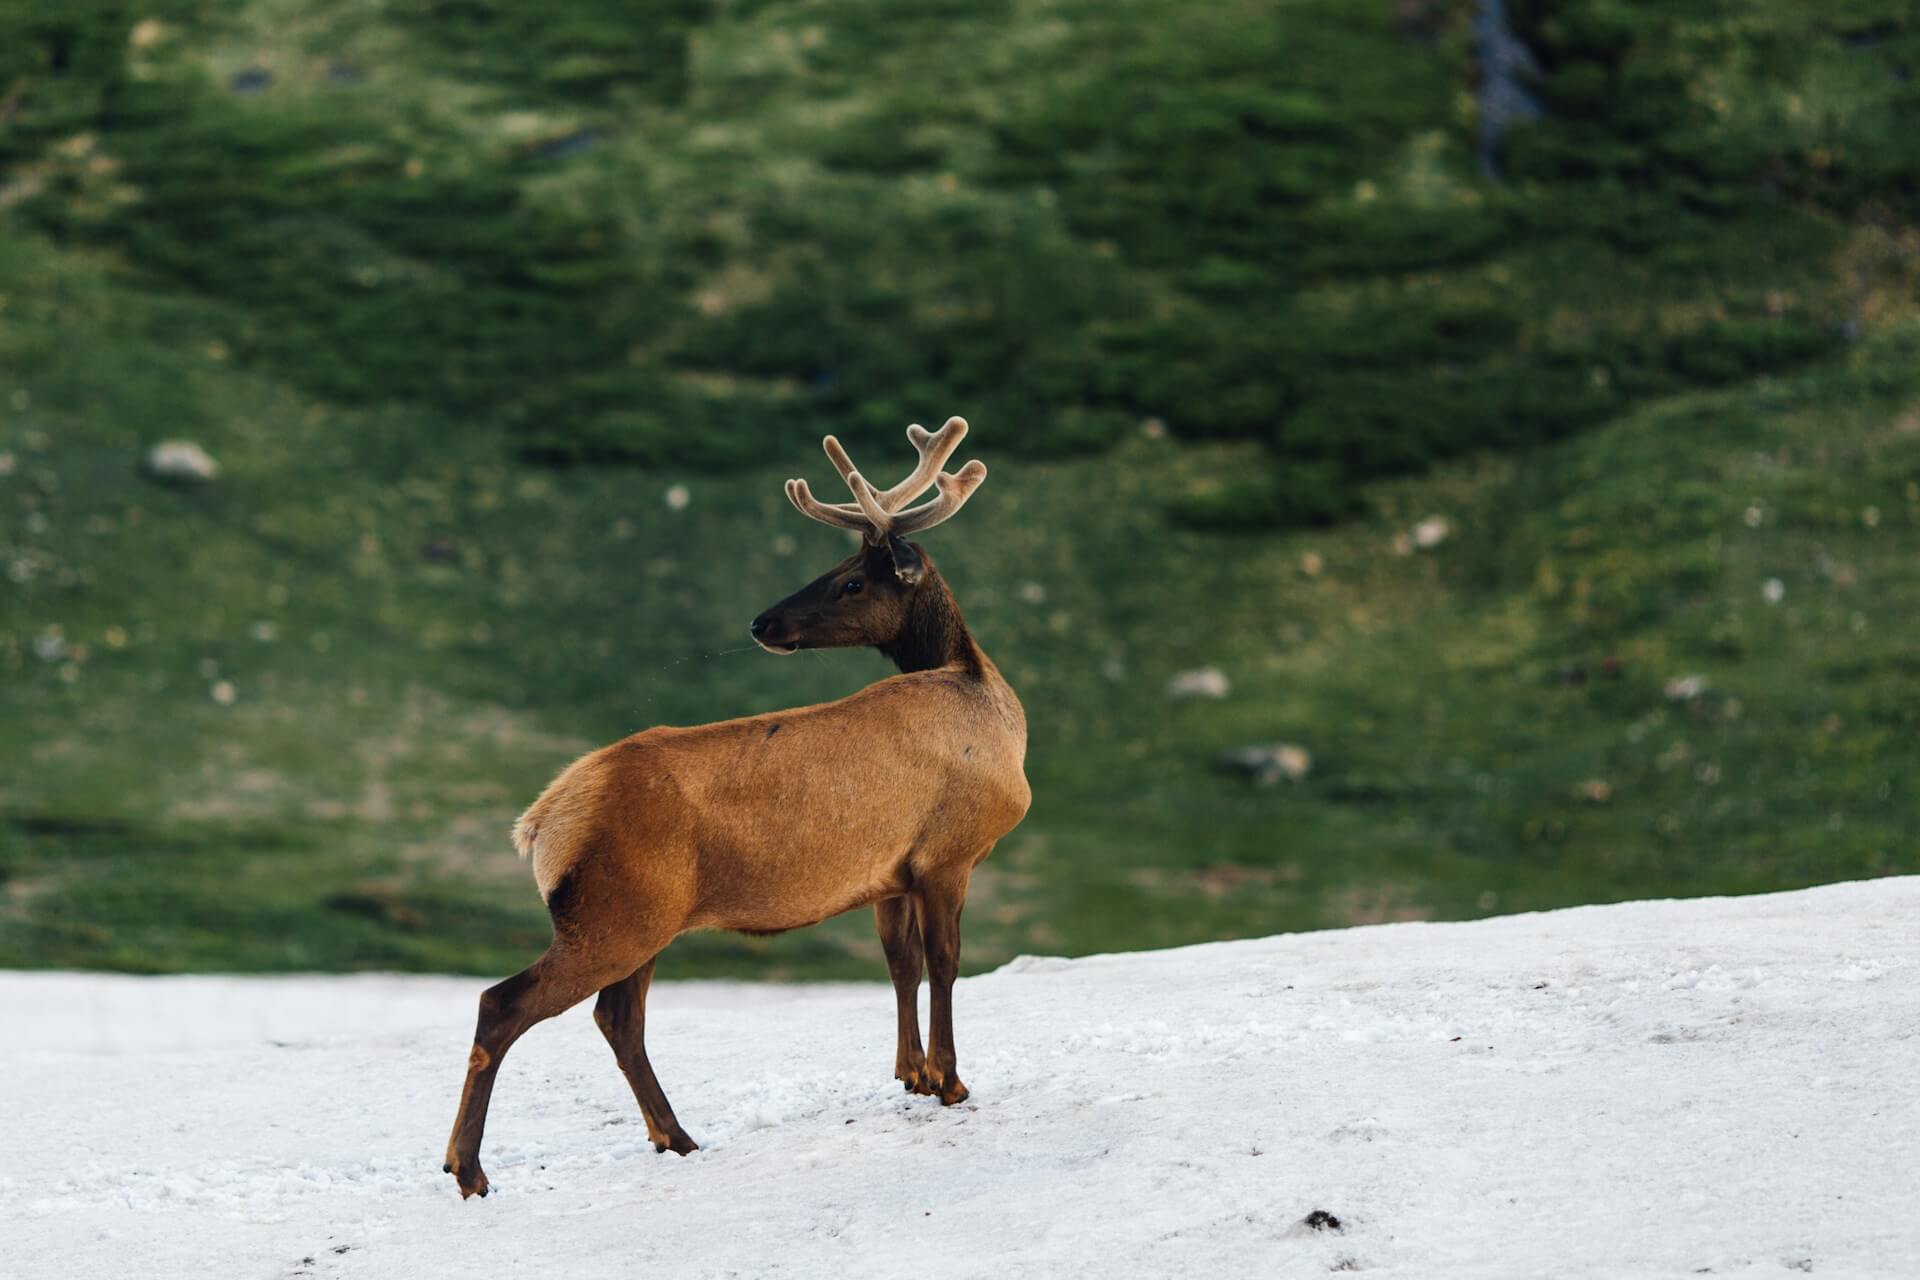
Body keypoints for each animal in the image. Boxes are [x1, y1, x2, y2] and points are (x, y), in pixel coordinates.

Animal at [443, 416, 1030, 1198]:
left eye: (850, 578)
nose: (762, 623)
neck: (987, 699)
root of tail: (539, 823)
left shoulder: (891, 873)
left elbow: (900, 963)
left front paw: (911, 1073)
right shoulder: (948, 854)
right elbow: (944, 963)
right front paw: (951, 1081)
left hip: (637, 920)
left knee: (618, 1020)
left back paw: (676, 1137)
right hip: (614, 916)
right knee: (503, 1005)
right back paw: (468, 1168)